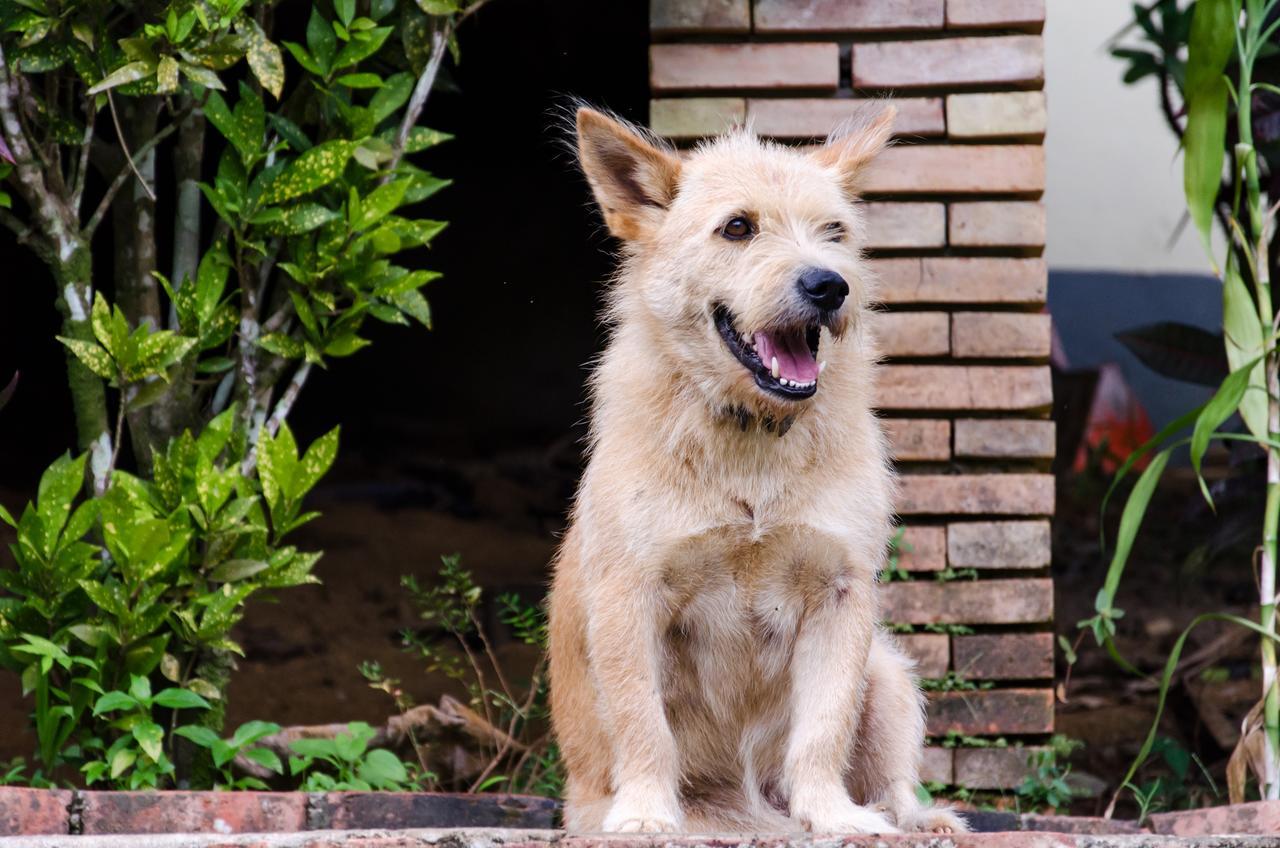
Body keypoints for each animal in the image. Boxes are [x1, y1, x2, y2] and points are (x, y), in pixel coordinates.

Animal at [545, 104, 962, 835]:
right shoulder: (629, 596)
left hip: (888, 676)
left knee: (893, 775)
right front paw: (647, 814)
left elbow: (824, 727)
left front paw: (832, 815)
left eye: (835, 232)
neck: (753, 443)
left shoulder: (841, 595)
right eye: (737, 227)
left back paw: (912, 818)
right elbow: (641, 720)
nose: (829, 285)